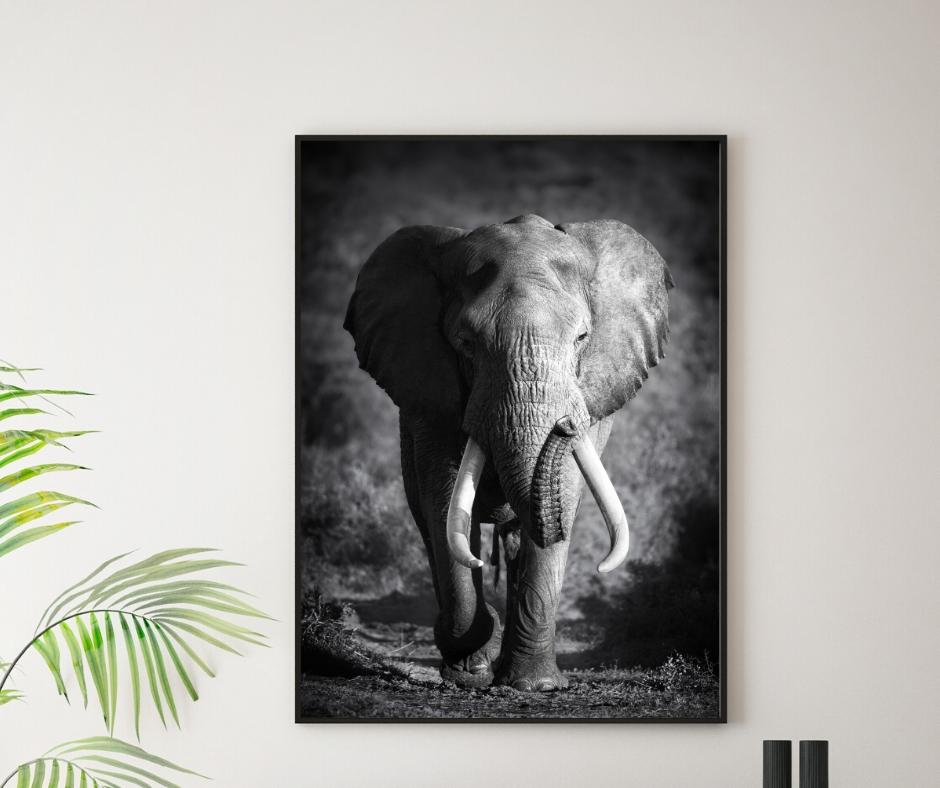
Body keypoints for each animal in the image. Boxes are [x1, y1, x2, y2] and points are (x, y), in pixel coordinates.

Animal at [344, 213, 672, 692]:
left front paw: (535, 686)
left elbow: (564, 494)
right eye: (465, 343)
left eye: (582, 338)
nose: (565, 425)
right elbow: (444, 501)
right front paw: (470, 669)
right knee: (429, 524)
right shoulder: (430, 396)